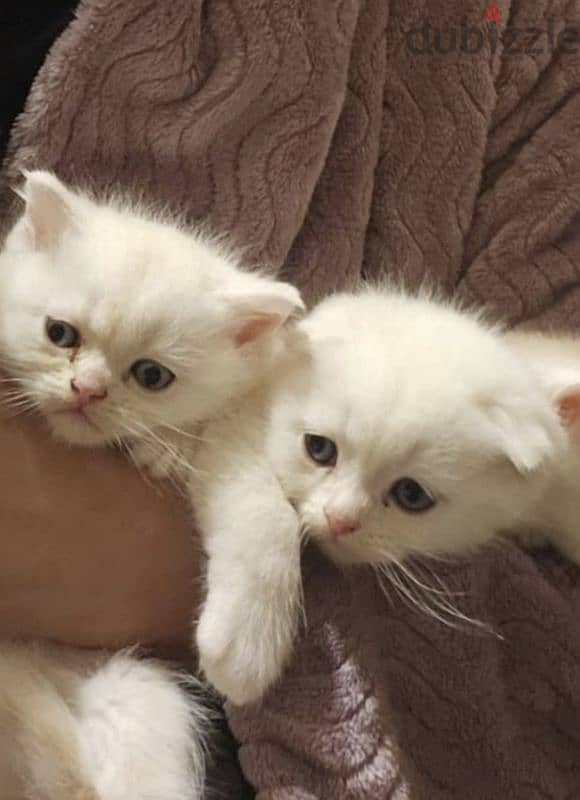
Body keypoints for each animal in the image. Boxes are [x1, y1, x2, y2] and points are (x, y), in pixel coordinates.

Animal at [0, 172, 306, 796]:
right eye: (60, 333)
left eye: (151, 376)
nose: (87, 390)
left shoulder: (247, 419)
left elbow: (265, 510)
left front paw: (246, 647)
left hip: (139, 693)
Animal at [193, 290, 564, 704]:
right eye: (319, 449)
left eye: (411, 495)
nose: (339, 520)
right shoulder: (235, 422)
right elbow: (267, 517)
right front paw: (247, 642)